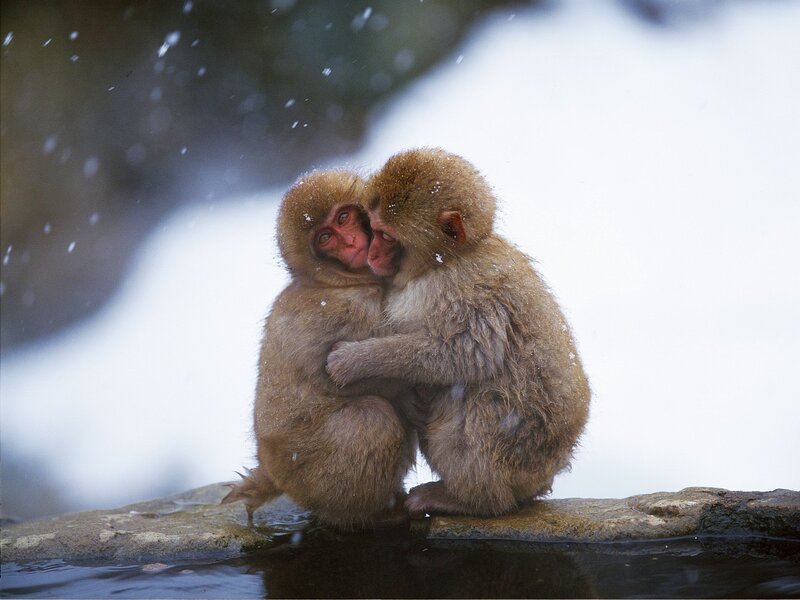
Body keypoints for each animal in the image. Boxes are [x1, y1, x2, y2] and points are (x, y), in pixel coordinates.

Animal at [222, 170, 415, 529]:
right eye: (326, 237)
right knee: (373, 419)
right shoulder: (350, 310)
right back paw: (375, 513)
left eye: (343, 218)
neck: (332, 281)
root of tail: (272, 471)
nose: (351, 243)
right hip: (311, 473)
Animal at [326, 148, 590, 518]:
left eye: (387, 236)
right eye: (372, 229)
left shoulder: (465, 290)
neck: (446, 261)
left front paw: (356, 360)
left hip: (515, 451)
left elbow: (467, 355)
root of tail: (545, 473)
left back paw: (472, 500)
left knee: (473, 402)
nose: (372, 253)